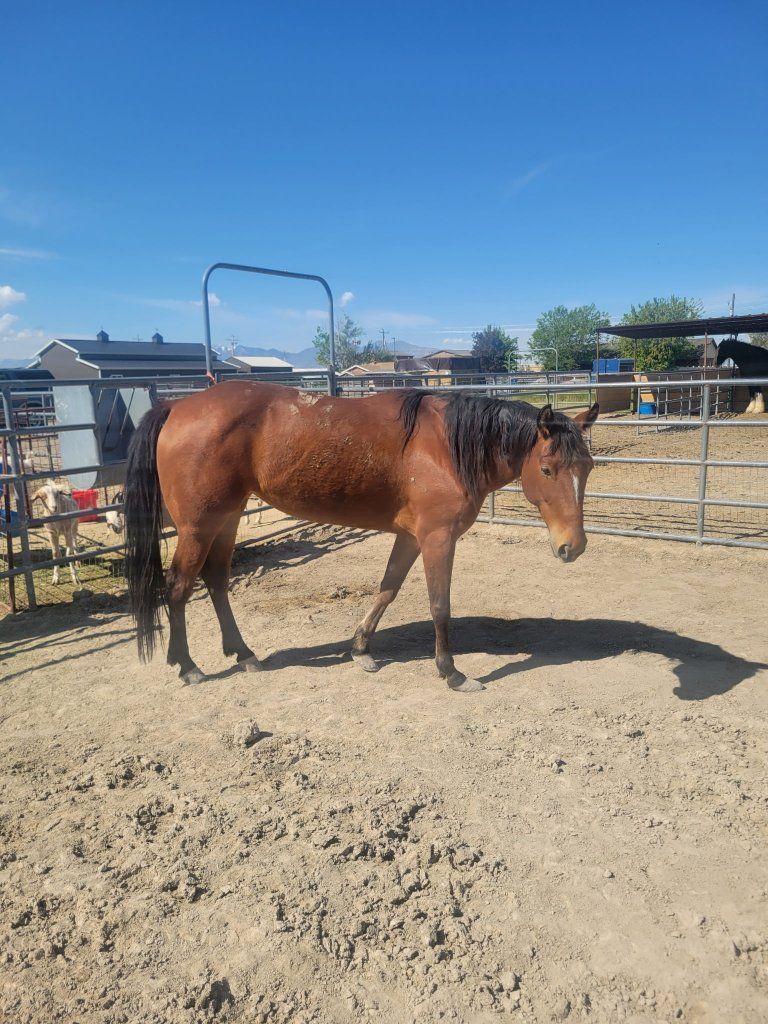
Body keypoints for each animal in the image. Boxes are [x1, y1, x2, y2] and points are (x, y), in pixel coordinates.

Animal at [124, 381, 598, 692]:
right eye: (547, 470)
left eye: (588, 467)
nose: (572, 547)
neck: (446, 447)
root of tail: (176, 405)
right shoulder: (438, 537)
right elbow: (439, 605)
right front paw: (451, 671)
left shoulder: (411, 536)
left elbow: (387, 589)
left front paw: (361, 650)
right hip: (198, 527)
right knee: (179, 586)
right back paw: (188, 666)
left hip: (227, 518)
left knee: (217, 581)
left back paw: (243, 655)